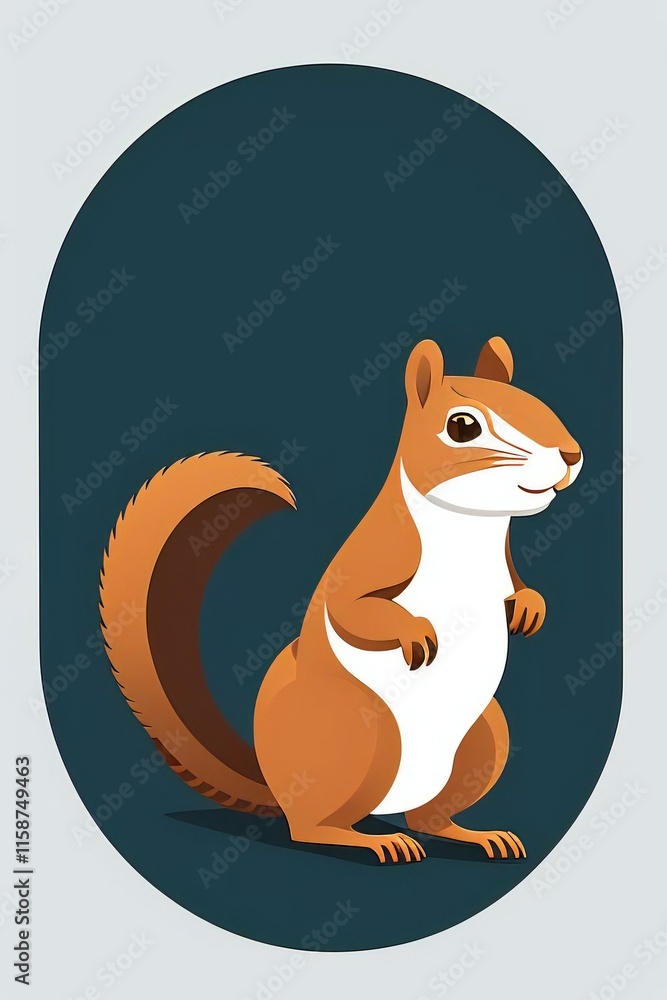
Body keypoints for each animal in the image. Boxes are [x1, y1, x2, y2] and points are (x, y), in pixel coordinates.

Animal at [100, 337, 582, 864]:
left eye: (537, 402)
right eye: (462, 426)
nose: (572, 454)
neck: (471, 532)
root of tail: (277, 789)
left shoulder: (504, 571)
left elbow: (521, 589)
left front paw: (530, 610)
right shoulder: (376, 557)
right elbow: (351, 608)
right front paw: (416, 631)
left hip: (485, 737)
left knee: (430, 818)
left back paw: (476, 835)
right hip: (360, 732)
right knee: (311, 828)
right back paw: (373, 840)